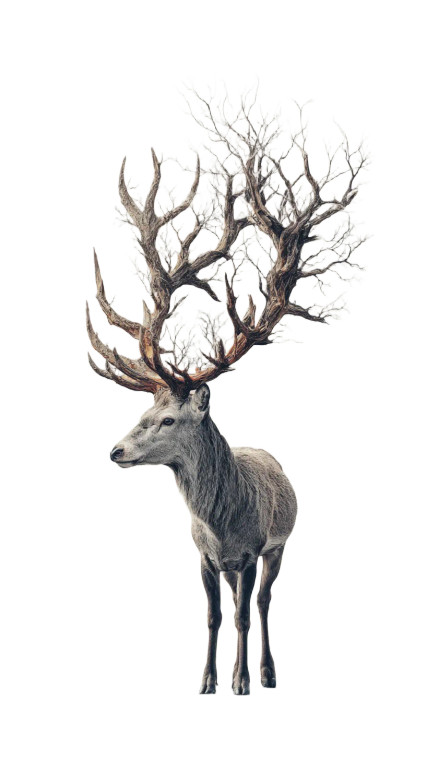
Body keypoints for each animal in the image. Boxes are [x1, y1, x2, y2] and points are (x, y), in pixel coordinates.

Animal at [86, 97, 366, 694]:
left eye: (168, 419)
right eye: (144, 409)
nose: (116, 450)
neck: (220, 523)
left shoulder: (254, 547)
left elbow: (241, 614)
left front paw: (239, 681)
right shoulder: (203, 557)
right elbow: (214, 615)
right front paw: (206, 680)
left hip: (280, 546)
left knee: (260, 603)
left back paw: (266, 672)